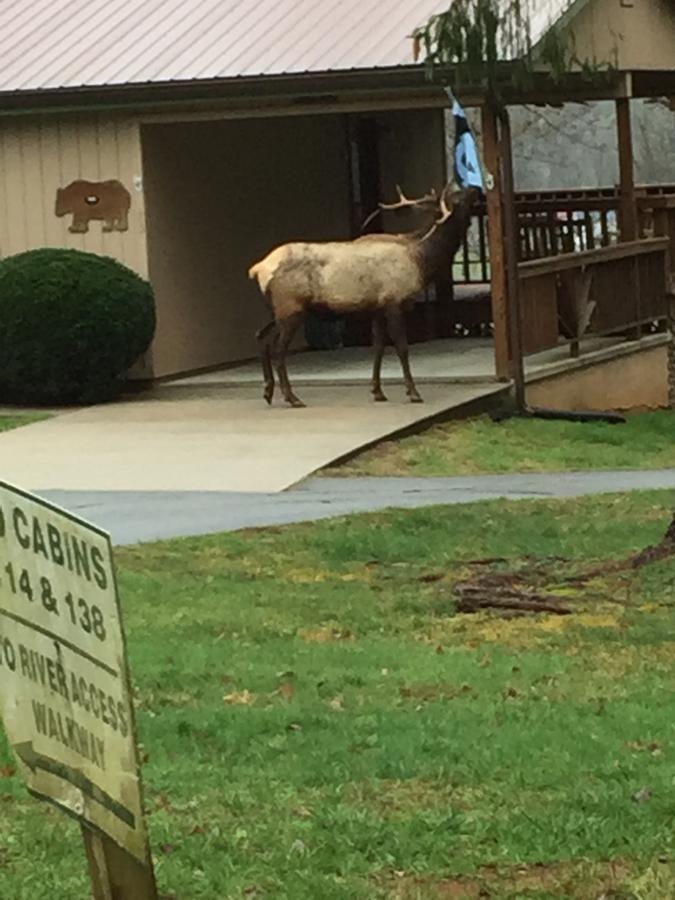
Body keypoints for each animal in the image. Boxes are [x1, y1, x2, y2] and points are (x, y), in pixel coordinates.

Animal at [248, 183, 480, 408]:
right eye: (458, 198)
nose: (476, 188)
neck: (421, 260)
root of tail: (258, 269)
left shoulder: (377, 309)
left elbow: (378, 347)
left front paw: (377, 391)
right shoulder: (394, 302)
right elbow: (402, 348)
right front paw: (413, 393)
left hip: (277, 310)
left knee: (260, 336)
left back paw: (268, 391)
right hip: (291, 308)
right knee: (278, 349)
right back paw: (292, 397)